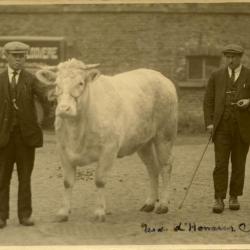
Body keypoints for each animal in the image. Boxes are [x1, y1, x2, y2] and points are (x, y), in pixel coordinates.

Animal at [36, 59, 178, 223]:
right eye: (56, 84)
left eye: (80, 83)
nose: (64, 108)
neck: (77, 131)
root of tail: (160, 76)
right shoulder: (63, 151)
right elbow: (67, 182)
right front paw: (63, 212)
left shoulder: (109, 149)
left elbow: (99, 180)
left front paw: (99, 212)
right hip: (144, 142)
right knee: (152, 168)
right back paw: (149, 203)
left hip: (165, 135)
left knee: (165, 166)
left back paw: (163, 205)